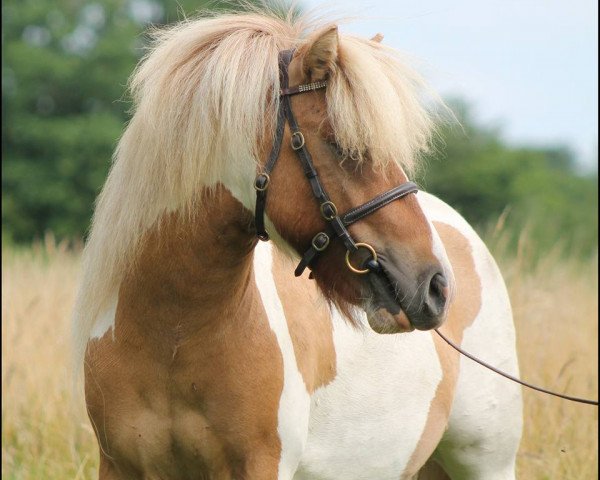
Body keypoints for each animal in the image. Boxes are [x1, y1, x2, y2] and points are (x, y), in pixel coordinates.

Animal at [72, 8, 524, 480]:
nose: (436, 285)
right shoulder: (118, 466)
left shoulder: (260, 465)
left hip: (489, 464)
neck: (172, 338)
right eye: (341, 145)